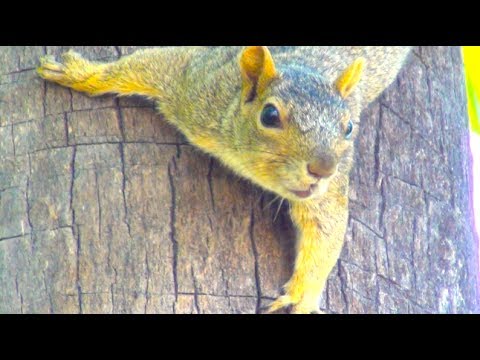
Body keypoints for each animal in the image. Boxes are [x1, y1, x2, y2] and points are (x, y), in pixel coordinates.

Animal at [38, 46, 412, 314]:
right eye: (270, 115)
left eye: (349, 127)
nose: (323, 169)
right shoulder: (196, 86)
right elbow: (146, 65)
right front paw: (82, 74)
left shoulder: (328, 192)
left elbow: (326, 230)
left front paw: (302, 298)